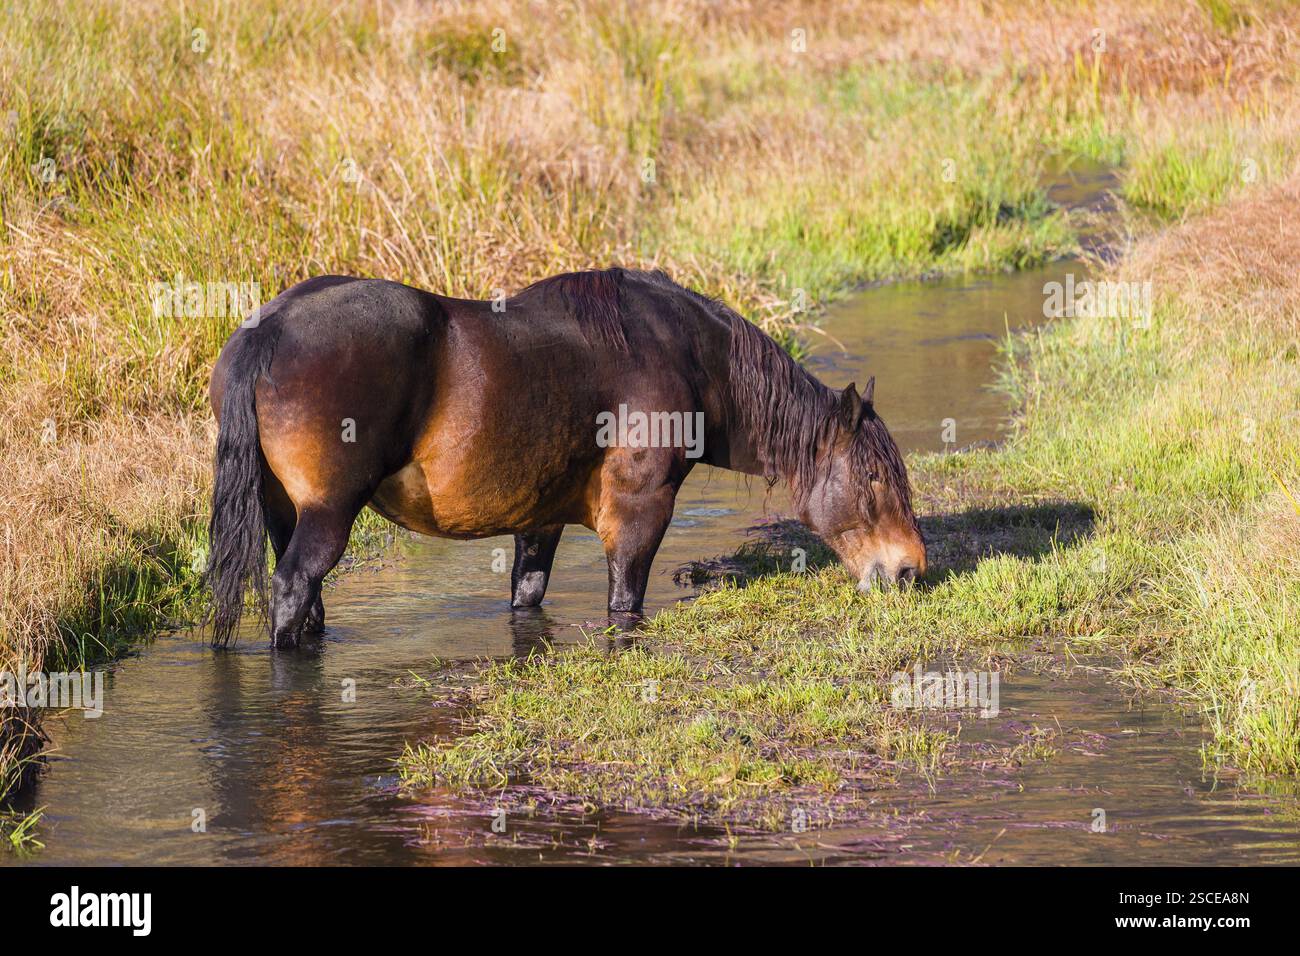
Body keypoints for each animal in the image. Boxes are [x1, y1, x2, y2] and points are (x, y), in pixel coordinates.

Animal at [206, 268, 926, 648]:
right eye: (872, 476)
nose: (911, 570)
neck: (685, 357)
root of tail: (268, 330)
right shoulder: (638, 516)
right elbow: (624, 604)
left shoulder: (539, 521)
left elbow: (527, 599)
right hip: (328, 514)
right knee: (294, 588)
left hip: (284, 513)